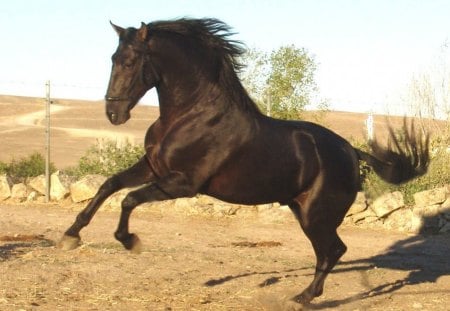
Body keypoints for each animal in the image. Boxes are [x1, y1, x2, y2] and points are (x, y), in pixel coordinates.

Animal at [58, 18, 430, 304]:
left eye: (130, 61)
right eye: (113, 57)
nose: (114, 113)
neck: (192, 115)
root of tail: (352, 151)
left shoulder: (184, 183)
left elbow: (129, 199)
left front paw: (130, 241)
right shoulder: (153, 168)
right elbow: (110, 185)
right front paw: (70, 235)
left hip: (316, 214)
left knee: (334, 250)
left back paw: (305, 297)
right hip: (303, 210)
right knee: (329, 251)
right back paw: (306, 295)